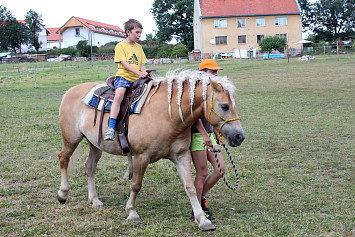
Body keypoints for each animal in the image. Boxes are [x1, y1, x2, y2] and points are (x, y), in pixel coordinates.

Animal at [57, 70, 245, 230]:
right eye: (225, 106)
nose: (239, 136)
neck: (168, 115)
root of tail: (69, 92)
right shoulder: (142, 157)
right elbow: (136, 185)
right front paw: (132, 213)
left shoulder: (181, 155)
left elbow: (190, 186)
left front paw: (202, 219)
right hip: (71, 139)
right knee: (63, 159)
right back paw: (63, 194)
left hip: (95, 145)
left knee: (90, 168)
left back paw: (95, 201)